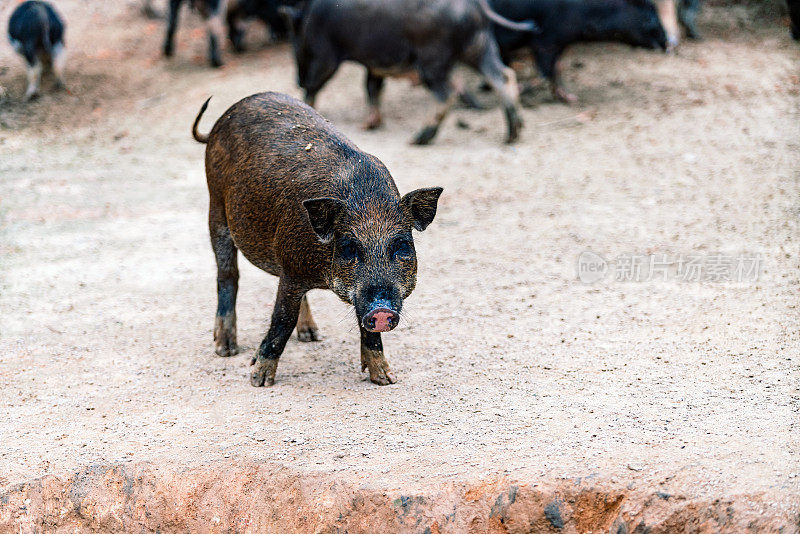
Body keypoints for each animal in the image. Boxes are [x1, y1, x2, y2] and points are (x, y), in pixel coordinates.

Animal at [192, 91, 444, 386]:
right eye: (349, 248)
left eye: (402, 246)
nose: (382, 310)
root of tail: (223, 118)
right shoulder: (292, 268)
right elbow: (282, 319)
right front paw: (258, 380)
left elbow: (366, 328)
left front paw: (386, 379)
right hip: (216, 208)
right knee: (228, 275)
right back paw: (225, 349)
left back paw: (311, 336)